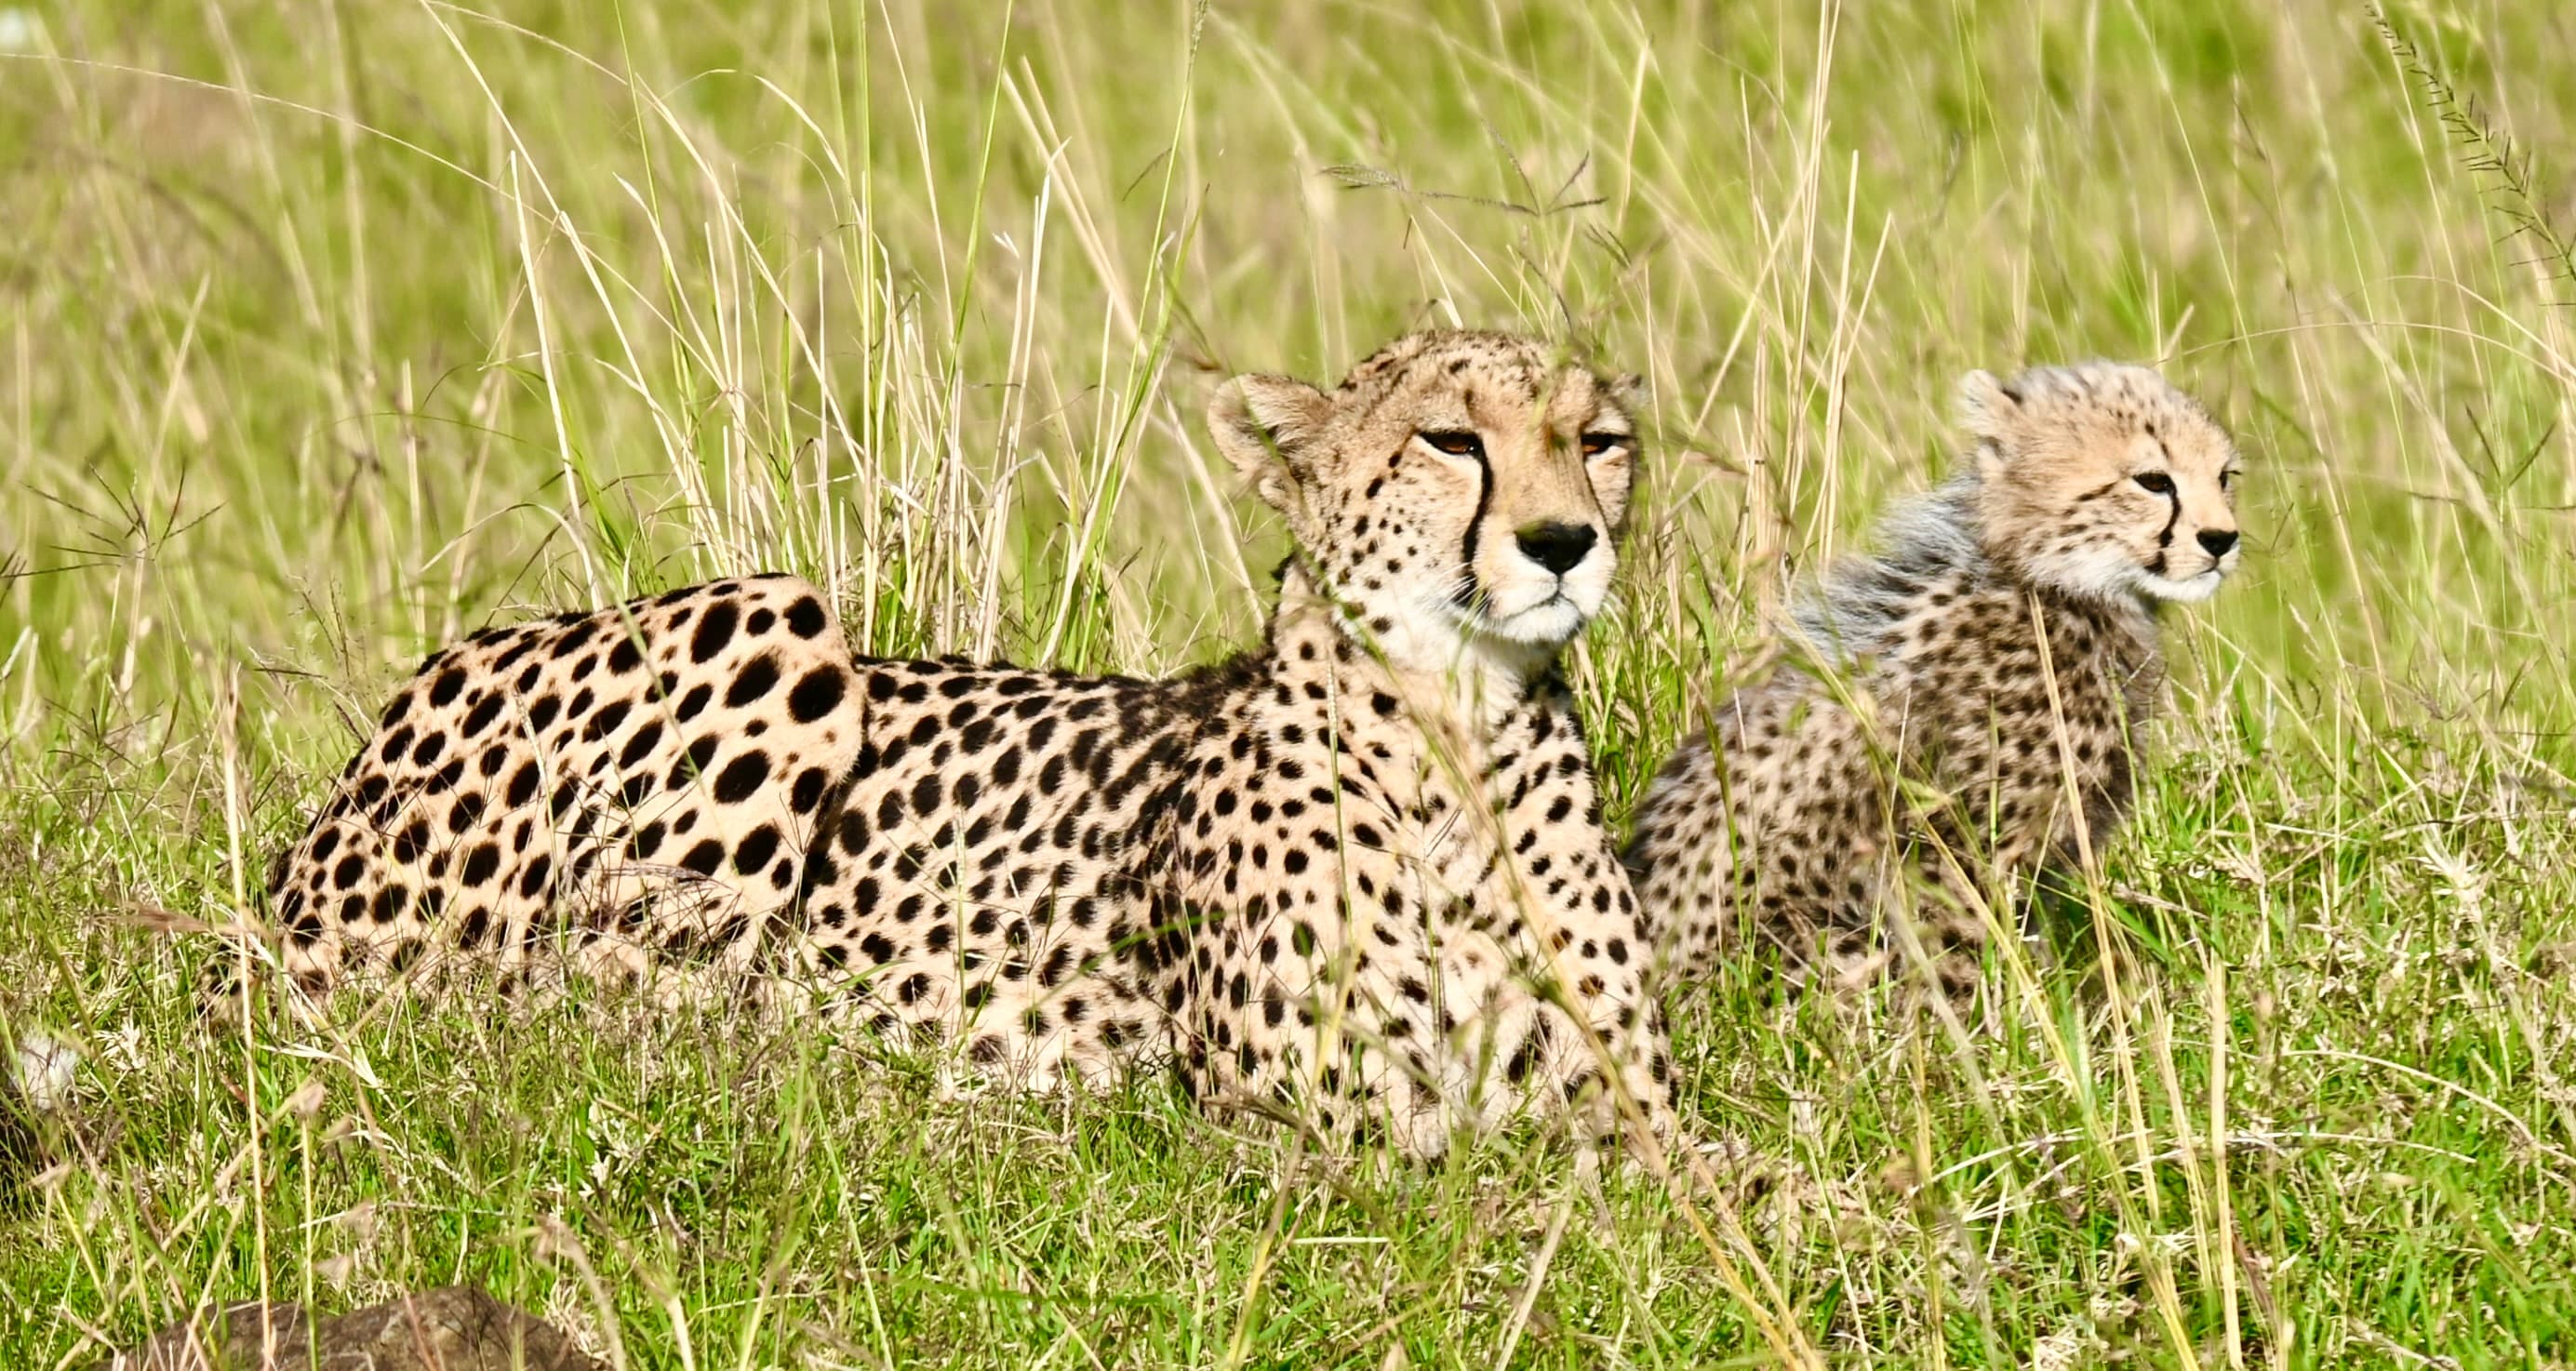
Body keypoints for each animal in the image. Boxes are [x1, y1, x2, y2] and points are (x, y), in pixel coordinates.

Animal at [259, 329, 1676, 1160]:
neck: (1461, 729)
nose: (1565, 542)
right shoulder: (1310, 1120)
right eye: (1453, 439)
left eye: (1600, 443)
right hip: (777, 617)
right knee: (591, 1046)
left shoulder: (1630, 1115)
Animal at [1623, 361, 2243, 1008]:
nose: (2222, 540)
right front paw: (2020, 1020)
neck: (2053, 585)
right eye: (2153, 481)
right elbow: (1970, 948)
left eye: (2224, 476)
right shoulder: (1955, 849)